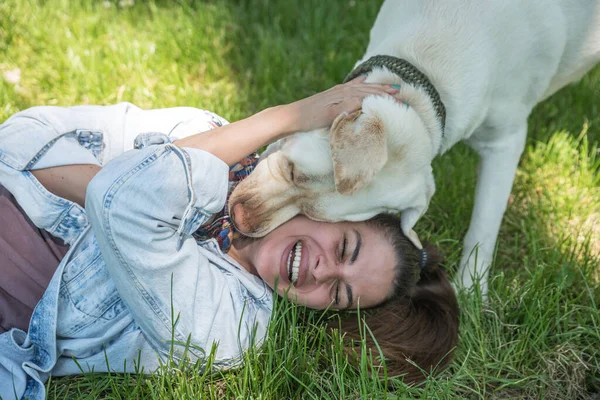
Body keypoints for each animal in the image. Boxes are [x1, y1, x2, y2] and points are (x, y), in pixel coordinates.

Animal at [227, 0, 596, 294]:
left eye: (311, 217)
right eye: (291, 170)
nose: (240, 221)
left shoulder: (505, 140)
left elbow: (484, 226)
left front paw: (470, 294)